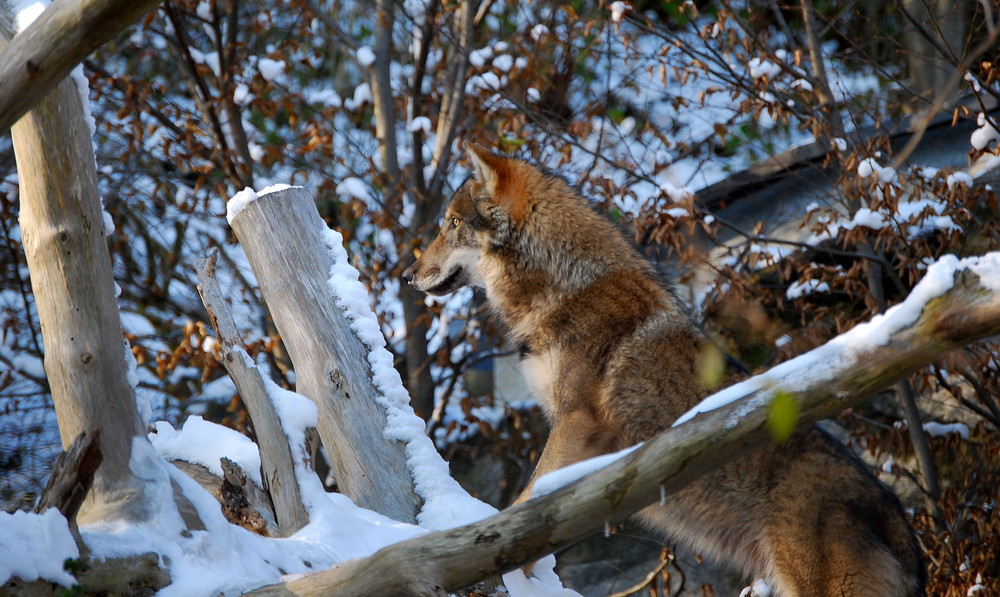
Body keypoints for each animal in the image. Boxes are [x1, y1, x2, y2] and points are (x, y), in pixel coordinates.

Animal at [400, 142, 928, 592]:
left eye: (451, 223)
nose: (407, 275)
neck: (566, 286)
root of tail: (898, 521)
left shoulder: (577, 424)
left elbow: (527, 505)